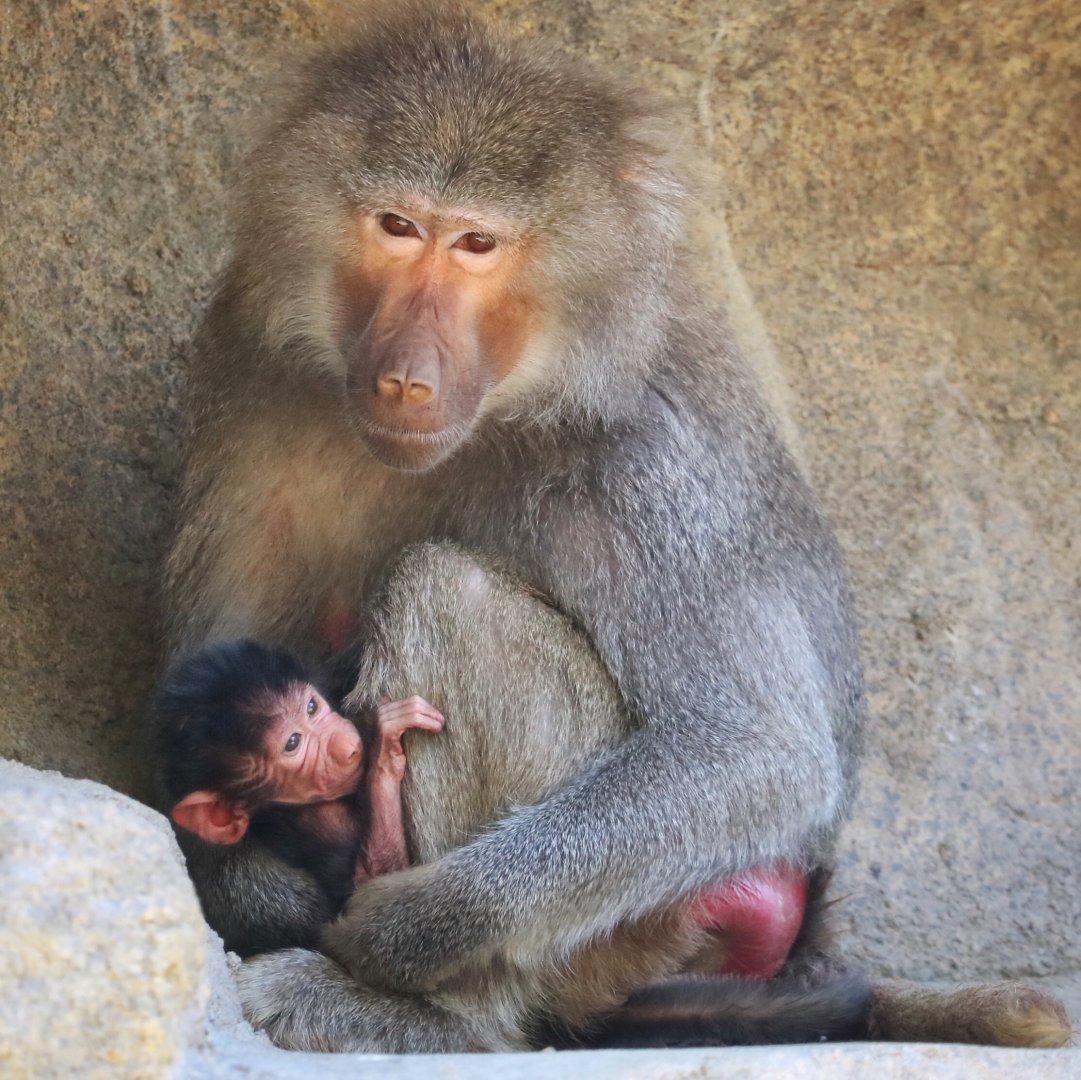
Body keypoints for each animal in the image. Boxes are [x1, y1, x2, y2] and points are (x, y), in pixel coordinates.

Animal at [153, 639, 444, 910]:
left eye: (311, 708)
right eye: (292, 743)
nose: (347, 747)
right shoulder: (322, 819)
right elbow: (371, 884)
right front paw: (385, 750)